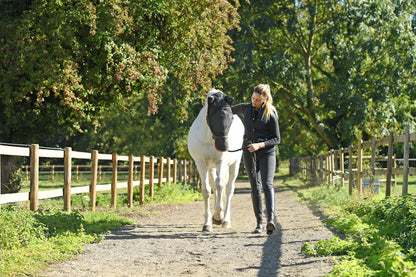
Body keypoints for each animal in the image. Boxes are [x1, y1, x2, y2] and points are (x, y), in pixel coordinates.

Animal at [188, 88, 244, 231]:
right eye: (213, 117)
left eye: (231, 118)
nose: (223, 147)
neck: (208, 138)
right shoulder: (201, 163)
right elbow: (207, 190)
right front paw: (207, 223)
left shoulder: (221, 162)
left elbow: (220, 186)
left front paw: (219, 216)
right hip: (211, 167)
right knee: (215, 185)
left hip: (234, 165)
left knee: (228, 188)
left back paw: (226, 219)